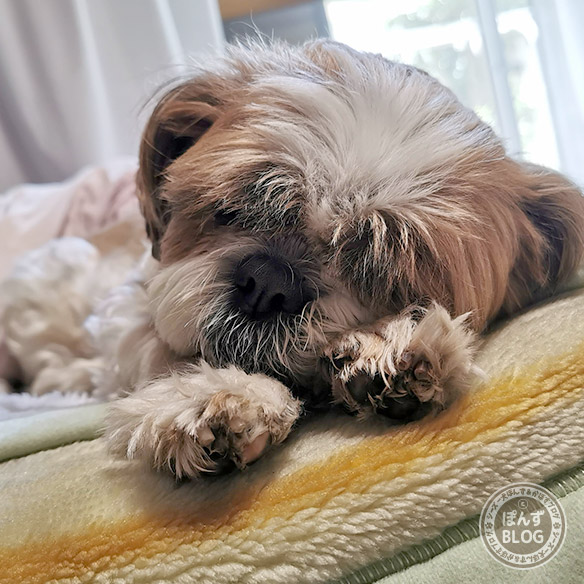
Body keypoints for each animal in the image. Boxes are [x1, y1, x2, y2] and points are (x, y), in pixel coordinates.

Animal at [2, 40, 584, 477]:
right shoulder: (127, 307)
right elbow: (157, 346)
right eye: (234, 209)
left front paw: (384, 343)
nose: (267, 281)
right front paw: (215, 392)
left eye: (380, 271)